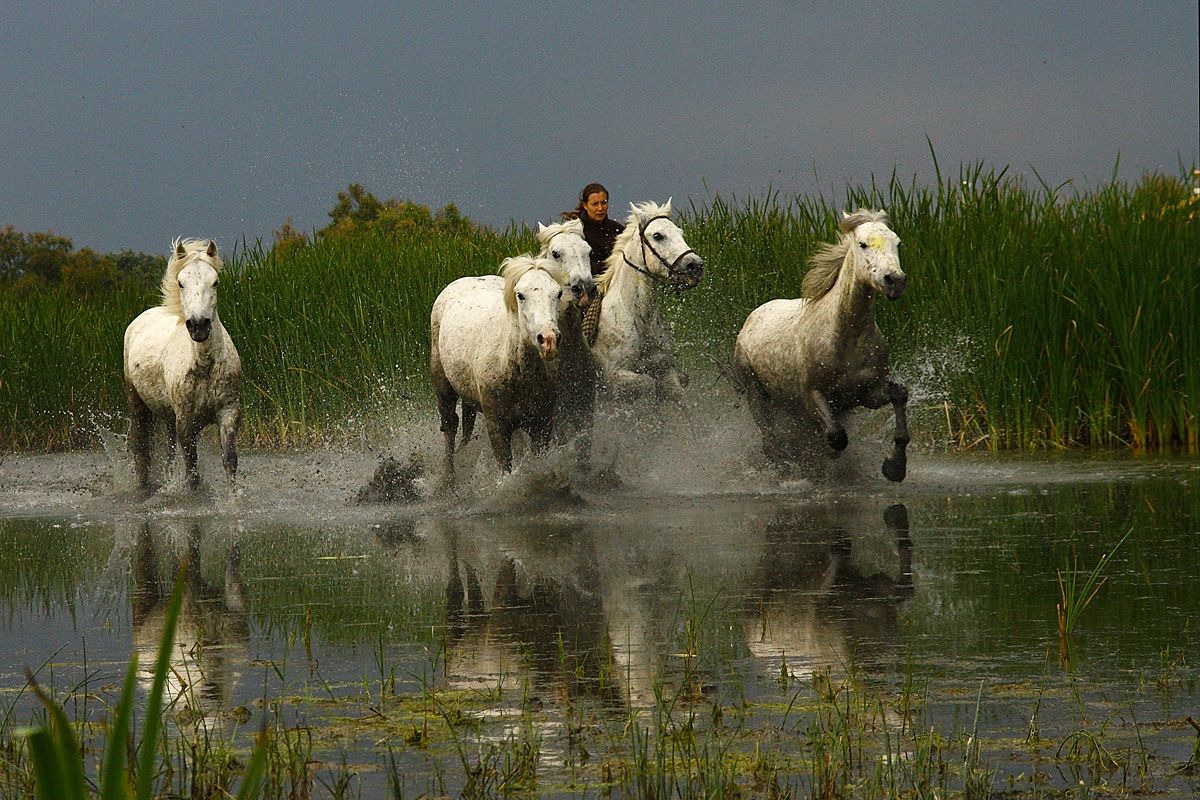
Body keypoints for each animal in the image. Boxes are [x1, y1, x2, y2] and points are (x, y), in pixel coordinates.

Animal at [124, 239, 241, 492]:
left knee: (168, 453)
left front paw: (234, 498)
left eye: (215, 281)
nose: (199, 326)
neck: (205, 366)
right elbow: (192, 470)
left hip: (168, 416)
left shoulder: (228, 411)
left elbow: (230, 460)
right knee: (141, 448)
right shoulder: (186, 421)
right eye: (181, 282)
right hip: (137, 403)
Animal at [430, 255, 566, 486]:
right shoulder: (497, 427)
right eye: (521, 295)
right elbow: (505, 469)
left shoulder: (542, 423)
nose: (548, 340)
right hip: (444, 388)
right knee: (450, 427)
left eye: (558, 293)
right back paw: (448, 482)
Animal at [588, 200, 705, 402]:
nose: (695, 265)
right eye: (658, 236)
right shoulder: (615, 377)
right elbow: (648, 384)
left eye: (680, 232)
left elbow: (681, 396)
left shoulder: (665, 370)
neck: (638, 317)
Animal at [733, 209, 910, 481]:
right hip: (756, 392)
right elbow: (836, 437)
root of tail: (753, 316)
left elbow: (899, 395)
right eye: (863, 244)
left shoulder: (866, 393)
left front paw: (894, 467)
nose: (895, 281)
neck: (846, 339)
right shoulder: (812, 394)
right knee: (770, 440)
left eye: (897, 242)